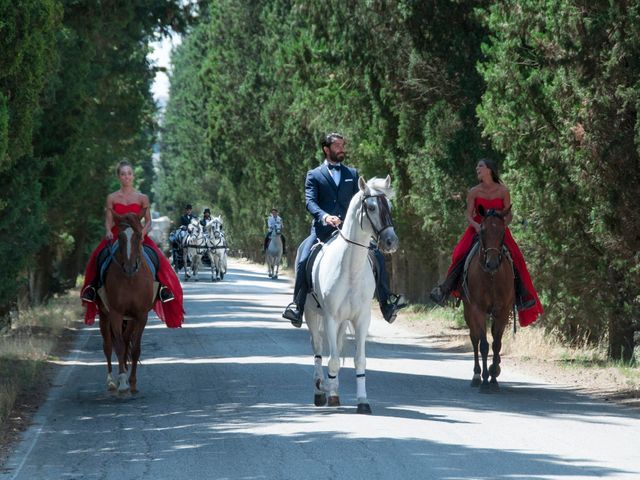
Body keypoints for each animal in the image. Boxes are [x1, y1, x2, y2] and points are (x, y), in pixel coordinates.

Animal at [97, 212, 155, 396]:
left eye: (137, 235)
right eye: (120, 237)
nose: (129, 267)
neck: (130, 279)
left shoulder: (141, 315)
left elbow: (135, 349)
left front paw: (133, 383)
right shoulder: (116, 313)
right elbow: (120, 347)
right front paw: (122, 382)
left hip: (130, 320)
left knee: (126, 338)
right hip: (104, 315)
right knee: (108, 346)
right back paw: (111, 381)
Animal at [302, 174, 398, 414]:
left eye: (390, 205)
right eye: (371, 207)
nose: (391, 242)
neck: (350, 267)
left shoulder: (361, 318)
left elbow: (359, 360)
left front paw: (362, 401)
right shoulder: (330, 317)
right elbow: (333, 360)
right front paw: (326, 389)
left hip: (343, 321)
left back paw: (333, 393)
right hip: (311, 314)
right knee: (318, 349)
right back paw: (320, 391)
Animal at [460, 204, 516, 392]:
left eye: (502, 231)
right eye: (482, 231)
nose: (491, 264)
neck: (491, 277)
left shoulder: (503, 311)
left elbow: (497, 343)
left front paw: (494, 377)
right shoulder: (478, 310)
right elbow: (483, 345)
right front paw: (484, 379)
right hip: (468, 311)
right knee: (475, 339)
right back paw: (477, 375)